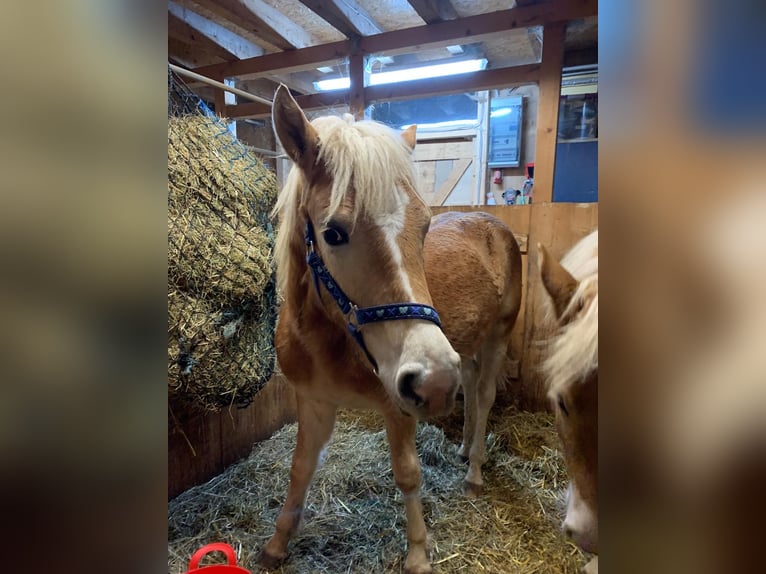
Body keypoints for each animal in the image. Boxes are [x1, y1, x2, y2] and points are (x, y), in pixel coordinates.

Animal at [260, 86, 524, 574]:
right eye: (333, 233)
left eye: (424, 226)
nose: (433, 380)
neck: (330, 341)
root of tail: (493, 223)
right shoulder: (314, 402)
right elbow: (300, 467)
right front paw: (277, 543)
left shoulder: (399, 407)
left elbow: (407, 473)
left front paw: (418, 552)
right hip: (466, 350)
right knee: (470, 385)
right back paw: (463, 449)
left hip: (495, 338)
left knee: (484, 397)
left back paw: (474, 471)